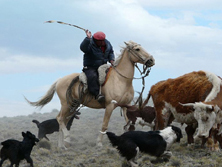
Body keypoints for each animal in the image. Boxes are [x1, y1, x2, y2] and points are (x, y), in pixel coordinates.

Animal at [25, 41, 155, 148]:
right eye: (137, 49)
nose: (151, 60)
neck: (121, 79)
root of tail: (60, 80)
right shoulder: (110, 106)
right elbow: (104, 125)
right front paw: (99, 143)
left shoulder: (125, 106)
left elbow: (128, 125)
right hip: (67, 104)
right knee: (60, 119)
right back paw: (67, 139)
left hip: (73, 106)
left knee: (63, 121)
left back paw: (62, 146)